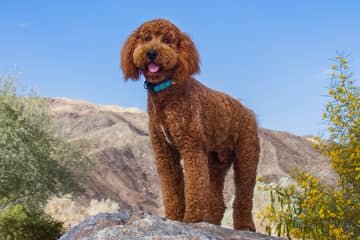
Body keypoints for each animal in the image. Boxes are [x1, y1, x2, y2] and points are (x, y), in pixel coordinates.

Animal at [120, 18, 258, 231]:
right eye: (146, 38)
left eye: (167, 40)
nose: (152, 53)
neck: (167, 91)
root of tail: (248, 112)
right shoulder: (165, 152)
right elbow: (172, 188)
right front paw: (174, 217)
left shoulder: (191, 147)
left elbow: (193, 185)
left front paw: (191, 219)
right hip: (216, 162)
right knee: (217, 198)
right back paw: (211, 222)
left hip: (246, 157)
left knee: (244, 195)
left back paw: (245, 226)